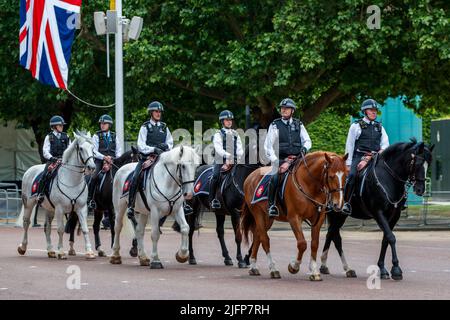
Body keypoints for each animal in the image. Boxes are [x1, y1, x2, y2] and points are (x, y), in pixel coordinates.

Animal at [243, 152, 348, 280]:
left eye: (346, 176)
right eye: (331, 176)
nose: (339, 204)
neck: (309, 184)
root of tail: (250, 176)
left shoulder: (318, 219)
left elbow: (314, 244)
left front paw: (314, 271)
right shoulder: (294, 218)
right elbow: (302, 244)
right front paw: (294, 266)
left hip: (267, 218)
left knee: (258, 236)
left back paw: (253, 267)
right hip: (258, 214)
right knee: (264, 240)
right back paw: (273, 269)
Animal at [320, 139, 432, 282]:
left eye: (429, 163)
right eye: (417, 163)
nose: (420, 189)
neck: (388, 178)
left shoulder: (394, 215)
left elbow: (386, 239)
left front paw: (384, 269)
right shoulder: (378, 213)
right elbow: (391, 237)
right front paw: (396, 269)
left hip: (340, 216)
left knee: (332, 234)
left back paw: (330, 266)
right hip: (336, 214)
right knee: (333, 236)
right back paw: (330, 266)